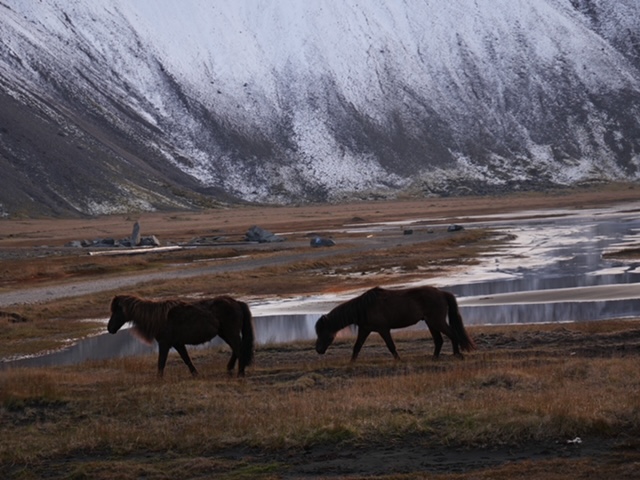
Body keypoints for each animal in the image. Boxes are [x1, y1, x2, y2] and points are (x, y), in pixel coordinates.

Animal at [106, 294, 254, 376]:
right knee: (236, 349)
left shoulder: (165, 344)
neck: (159, 317)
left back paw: (240, 373)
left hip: (230, 333)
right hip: (224, 333)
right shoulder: (178, 344)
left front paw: (159, 378)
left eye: (117, 311)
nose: (109, 328)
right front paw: (196, 374)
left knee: (238, 349)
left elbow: (161, 362)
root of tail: (236, 302)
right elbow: (186, 359)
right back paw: (230, 369)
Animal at [316, 284, 476, 360]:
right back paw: (434, 358)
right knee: (439, 340)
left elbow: (391, 346)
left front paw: (398, 359)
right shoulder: (365, 329)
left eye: (323, 332)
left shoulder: (383, 329)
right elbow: (357, 347)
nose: (318, 350)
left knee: (452, 335)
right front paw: (351, 363)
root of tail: (442, 293)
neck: (364, 307)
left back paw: (457, 355)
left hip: (437, 321)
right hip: (431, 323)